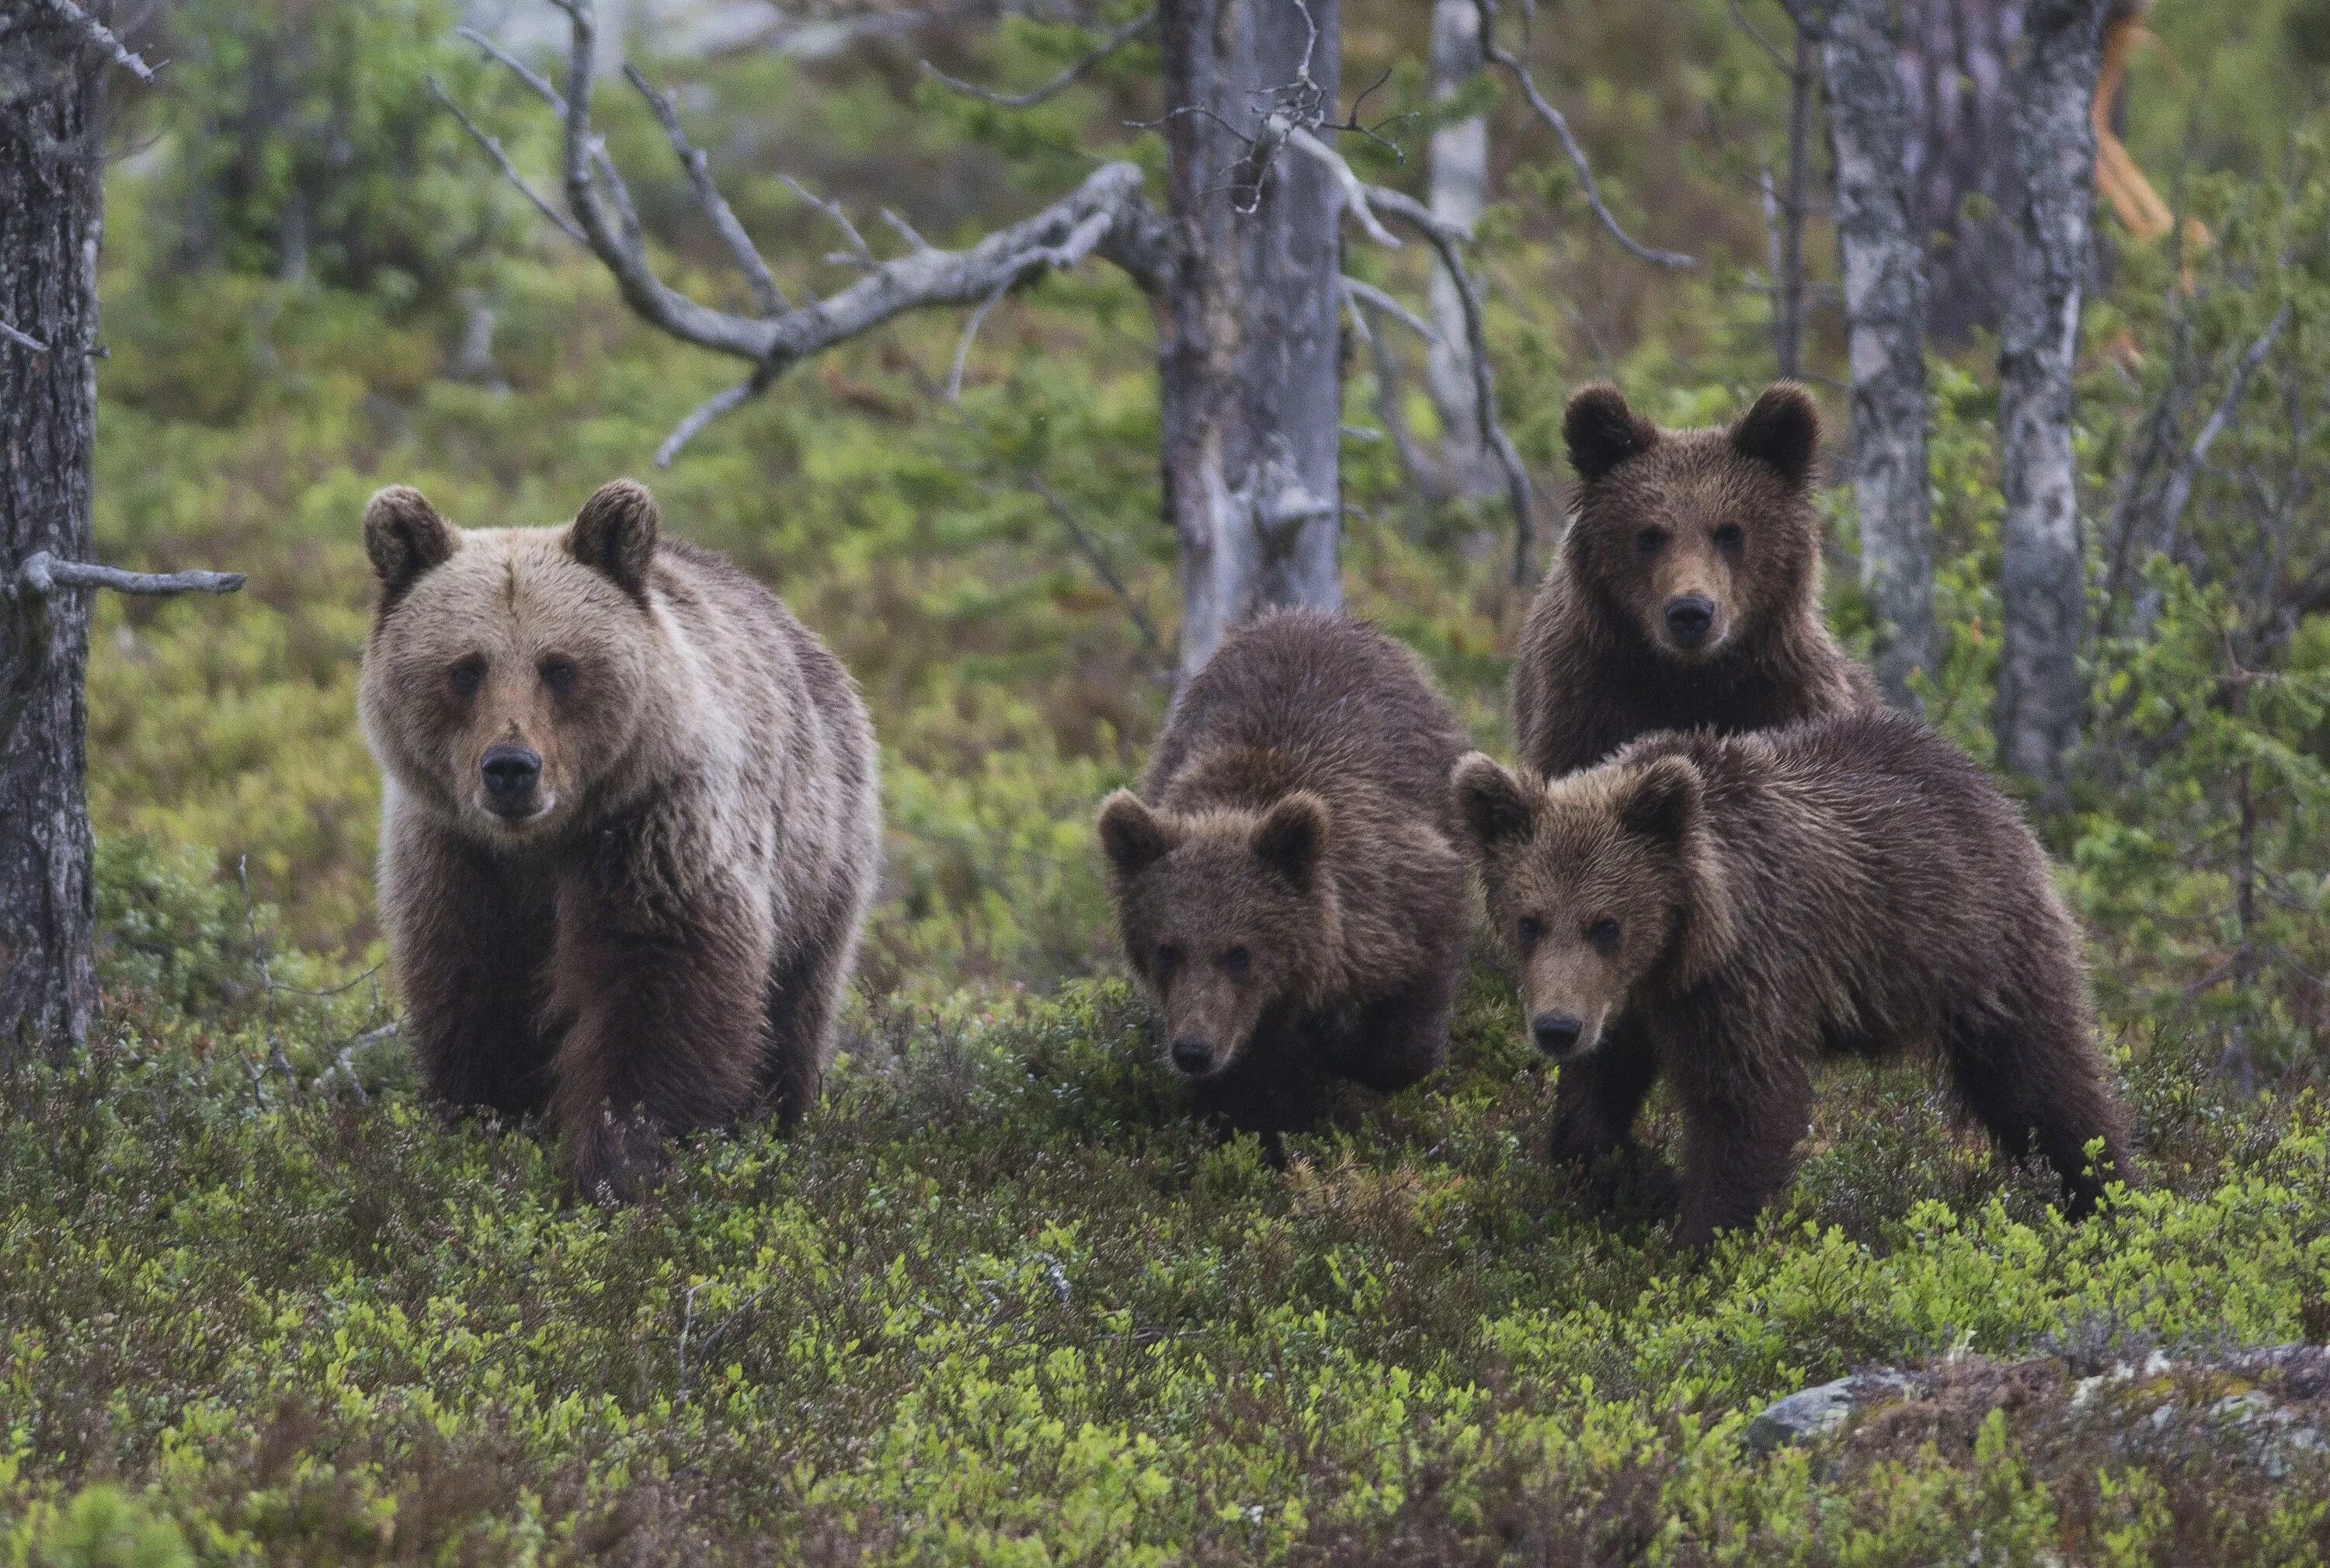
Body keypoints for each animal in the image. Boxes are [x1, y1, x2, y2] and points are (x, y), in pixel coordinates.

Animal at [359, 478, 876, 1202]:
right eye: (466, 668)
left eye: (559, 666)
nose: (511, 767)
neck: (540, 845)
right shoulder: (457, 859)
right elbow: (476, 996)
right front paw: (490, 1130)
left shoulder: (654, 832)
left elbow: (660, 996)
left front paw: (618, 1166)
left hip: (819, 859)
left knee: (794, 1009)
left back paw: (779, 1119)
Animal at [1100, 610, 1463, 1137]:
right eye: (1167, 949)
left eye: (1239, 953)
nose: (1193, 1051)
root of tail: (1305, 615)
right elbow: (1253, 1097)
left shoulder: (1399, 892)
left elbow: (1408, 1025)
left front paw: (1347, 1052)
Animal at [1445, 713, 2134, 1249]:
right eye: (1530, 921)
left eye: (1605, 924)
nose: (1556, 1028)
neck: (1677, 950)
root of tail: (1993, 789)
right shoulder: (1628, 1006)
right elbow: (1590, 1116)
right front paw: (1648, 1180)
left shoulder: (1746, 975)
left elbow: (1747, 1107)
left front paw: (1696, 1242)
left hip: (1979, 948)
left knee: (2042, 1082)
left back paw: (2111, 1199)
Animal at [1501, 384, 1883, 778]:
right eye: (1649, 536)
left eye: (1730, 532)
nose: (1690, 612)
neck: (1692, 678)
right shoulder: (1586, 703)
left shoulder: (1787, 694)